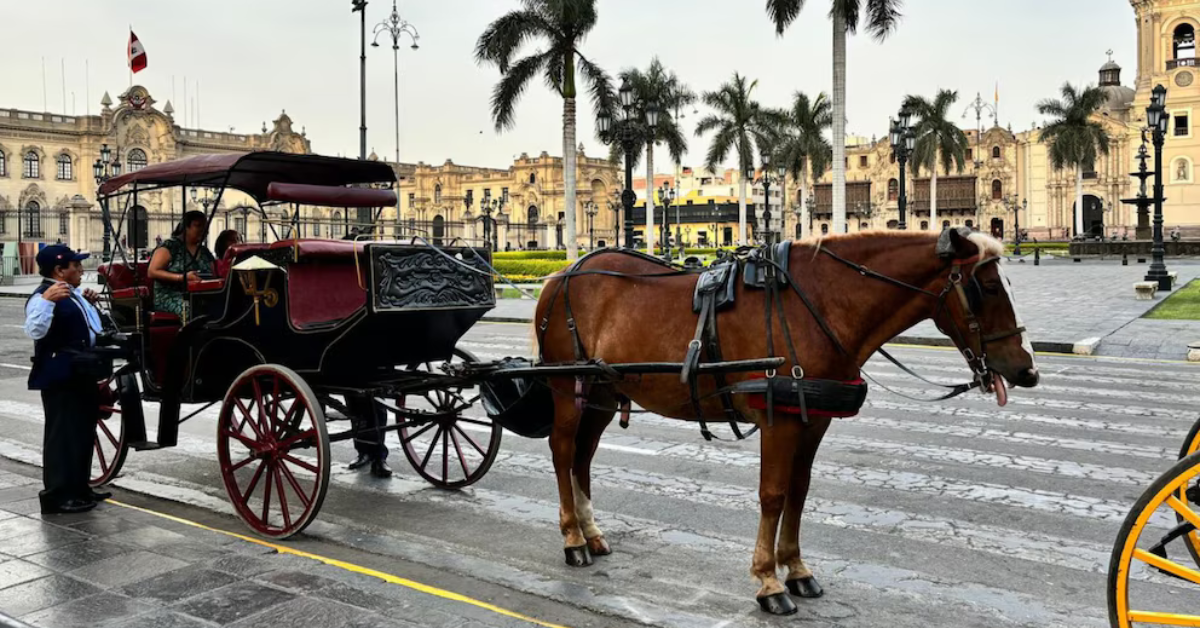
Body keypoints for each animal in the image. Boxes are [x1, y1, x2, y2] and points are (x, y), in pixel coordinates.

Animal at [531, 228, 1040, 615]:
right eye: (987, 288)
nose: (1027, 370)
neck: (819, 303)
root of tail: (561, 274)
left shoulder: (812, 421)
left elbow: (798, 492)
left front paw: (796, 570)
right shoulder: (779, 421)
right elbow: (773, 495)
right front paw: (768, 582)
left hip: (601, 392)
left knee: (583, 457)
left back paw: (592, 532)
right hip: (566, 388)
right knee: (562, 452)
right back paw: (572, 539)